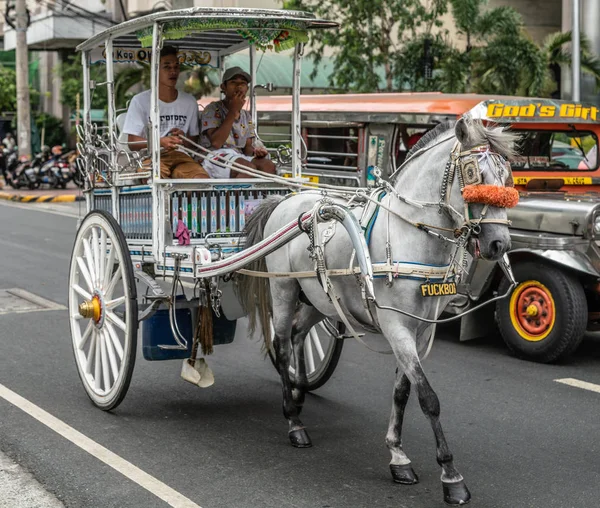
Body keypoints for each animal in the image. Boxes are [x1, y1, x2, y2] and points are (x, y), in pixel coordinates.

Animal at [237, 116, 516, 504]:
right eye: (473, 173)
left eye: (508, 177)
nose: (499, 244)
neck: (410, 236)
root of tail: (287, 200)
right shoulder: (396, 326)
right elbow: (428, 397)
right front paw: (451, 476)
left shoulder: (421, 329)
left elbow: (403, 391)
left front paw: (398, 456)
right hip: (283, 289)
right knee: (280, 346)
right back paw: (293, 420)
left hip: (320, 299)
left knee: (298, 335)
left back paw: (298, 390)